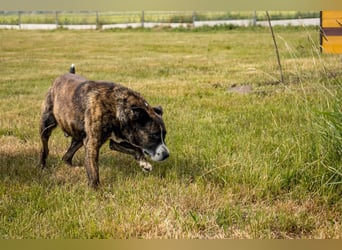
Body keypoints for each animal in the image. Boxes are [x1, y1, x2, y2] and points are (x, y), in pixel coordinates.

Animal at [39, 65, 170, 188]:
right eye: (154, 135)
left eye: (164, 135)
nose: (166, 155)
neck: (117, 106)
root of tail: (63, 75)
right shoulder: (92, 143)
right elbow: (93, 168)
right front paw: (95, 188)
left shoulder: (117, 141)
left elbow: (135, 149)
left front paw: (144, 163)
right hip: (46, 125)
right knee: (45, 147)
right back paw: (42, 165)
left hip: (79, 137)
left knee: (66, 156)